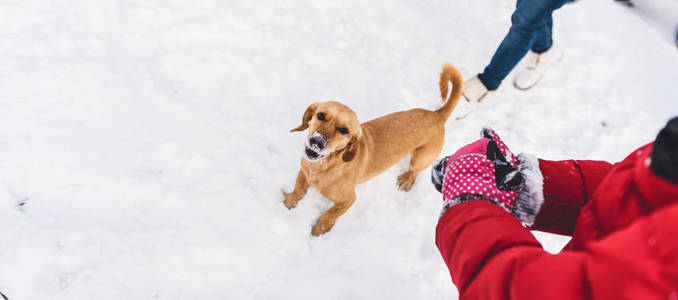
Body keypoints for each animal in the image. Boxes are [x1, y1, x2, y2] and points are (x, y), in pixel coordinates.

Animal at [284, 63, 464, 237]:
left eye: (344, 130)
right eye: (320, 115)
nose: (317, 141)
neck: (323, 166)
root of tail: (437, 115)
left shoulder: (347, 200)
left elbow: (329, 214)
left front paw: (319, 229)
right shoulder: (303, 172)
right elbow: (298, 189)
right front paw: (289, 202)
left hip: (419, 159)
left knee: (415, 170)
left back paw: (406, 179)